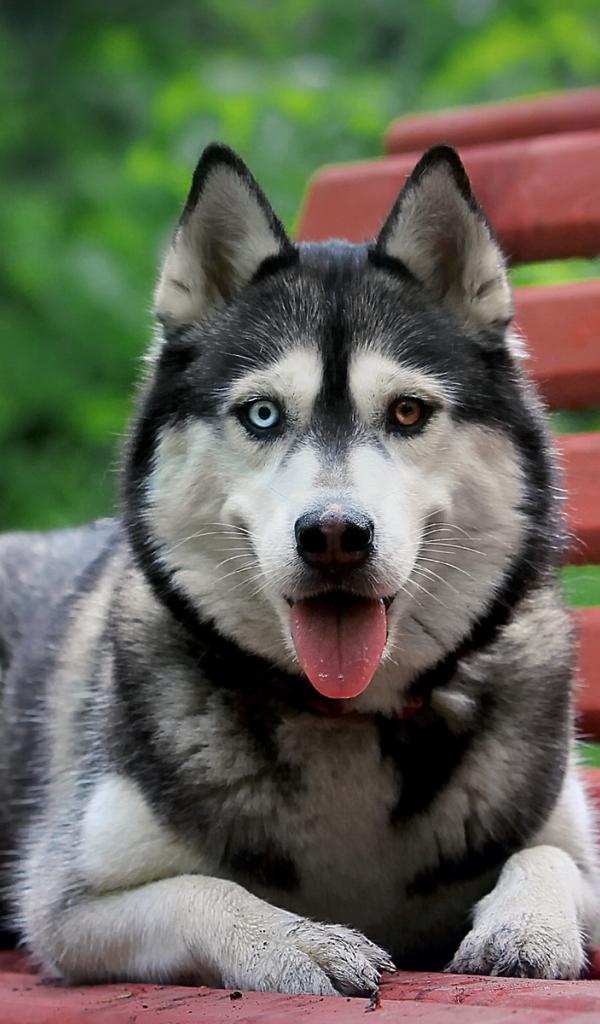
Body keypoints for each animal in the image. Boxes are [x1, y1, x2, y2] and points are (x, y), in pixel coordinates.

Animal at [0, 142, 598, 996]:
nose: (335, 535)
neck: (348, 717)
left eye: (408, 412)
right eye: (262, 414)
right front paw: (297, 941)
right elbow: (204, 889)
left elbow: (544, 854)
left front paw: (527, 923)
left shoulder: (570, 837)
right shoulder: (69, 904)